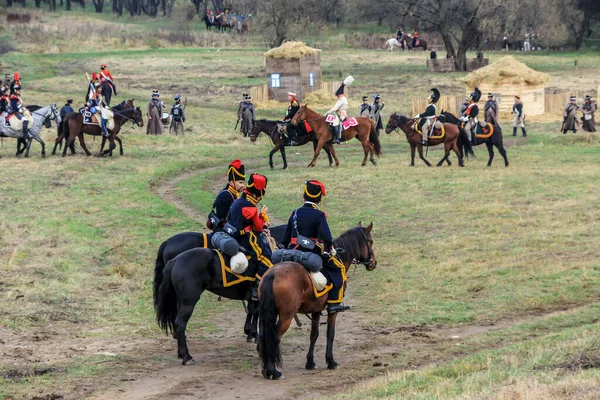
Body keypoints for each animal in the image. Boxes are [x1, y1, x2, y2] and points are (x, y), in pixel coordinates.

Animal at [256, 223, 376, 380]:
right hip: (286, 316)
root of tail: (272, 275)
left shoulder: (316, 309)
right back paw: (273, 371)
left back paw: (266, 369)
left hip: (267, 313)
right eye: (370, 242)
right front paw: (331, 362)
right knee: (275, 337)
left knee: (264, 337)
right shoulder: (332, 310)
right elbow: (330, 333)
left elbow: (314, 334)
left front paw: (310, 362)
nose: (373, 263)